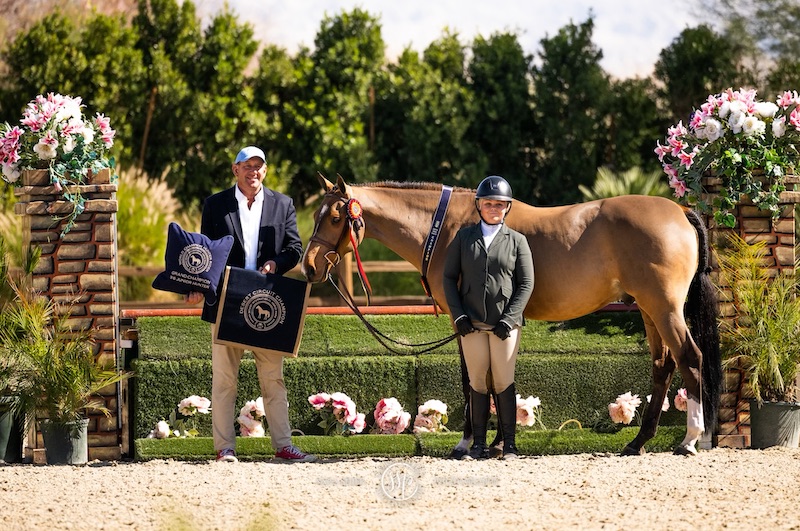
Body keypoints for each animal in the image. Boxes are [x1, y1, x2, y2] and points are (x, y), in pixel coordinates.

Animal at [302, 175, 724, 458]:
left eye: (336, 217)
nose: (308, 266)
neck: (446, 227)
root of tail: (680, 210)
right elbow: (490, 380)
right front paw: (493, 442)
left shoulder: (464, 322)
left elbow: (472, 380)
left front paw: (468, 442)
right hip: (650, 310)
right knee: (663, 366)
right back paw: (638, 443)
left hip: (664, 308)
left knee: (690, 359)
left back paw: (690, 440)